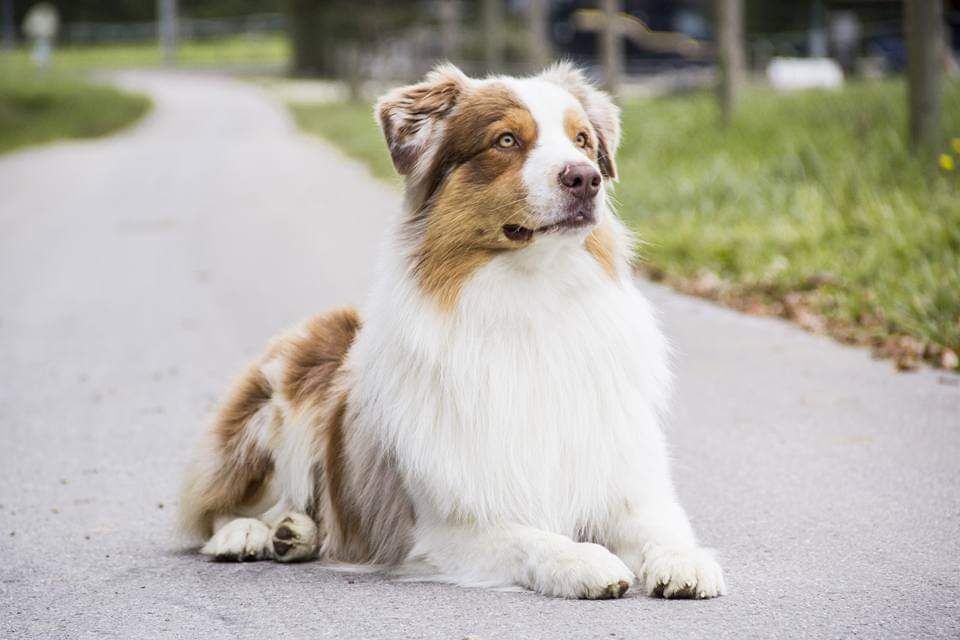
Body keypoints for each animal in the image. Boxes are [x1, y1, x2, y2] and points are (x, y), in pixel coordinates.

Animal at [180, 63, 724, 600]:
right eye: (506, 140)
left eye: (583, 140)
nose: (585, 178)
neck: (532, 296)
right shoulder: (445, 526)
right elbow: (531, 537)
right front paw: (582, 559)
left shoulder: (627, 486)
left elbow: (661, 528)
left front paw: (686, 560)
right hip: (290, 381)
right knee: (217, 504)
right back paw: (247, 533)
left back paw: (294, 532)